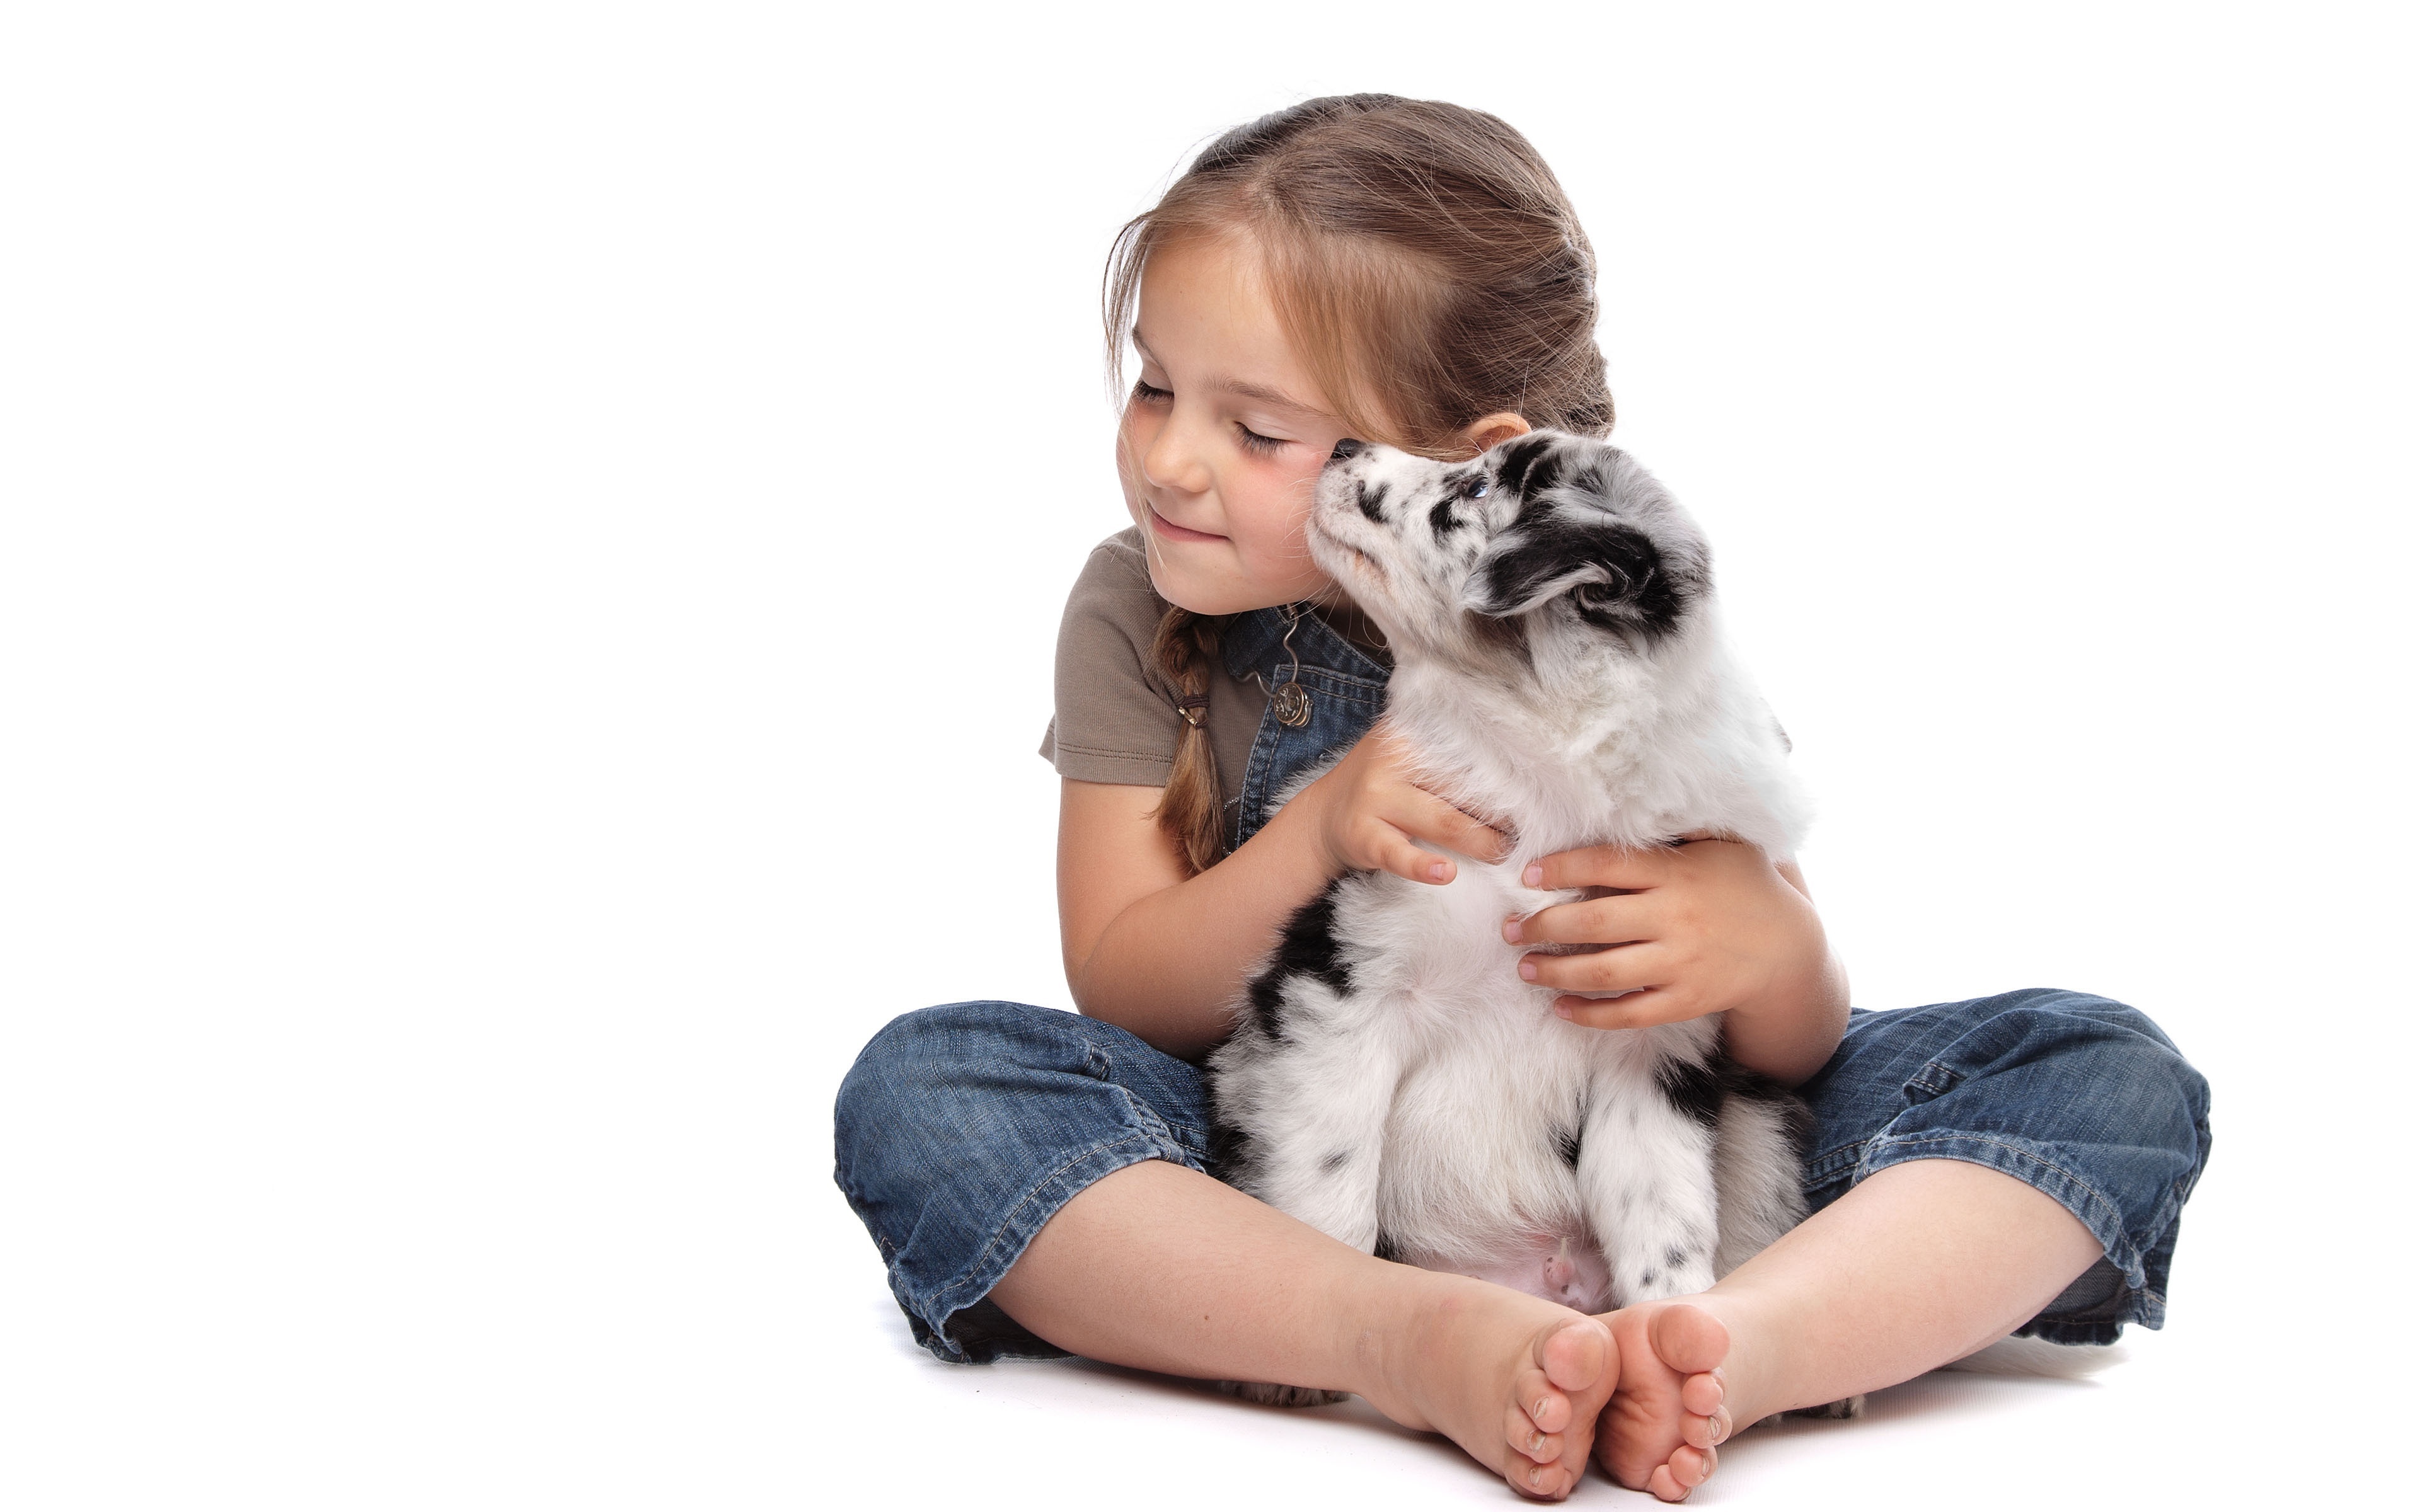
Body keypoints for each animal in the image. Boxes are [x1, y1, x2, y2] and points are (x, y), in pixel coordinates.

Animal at [1210, 433, 1819, 1403]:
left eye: (1469, 493)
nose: (1343, 444)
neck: (1547, 792)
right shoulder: (1343, 985)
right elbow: (1331, 1177)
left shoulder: (1653, 1046)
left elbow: (1665, 1217)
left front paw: (1673, 1349)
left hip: (1757, 1124)